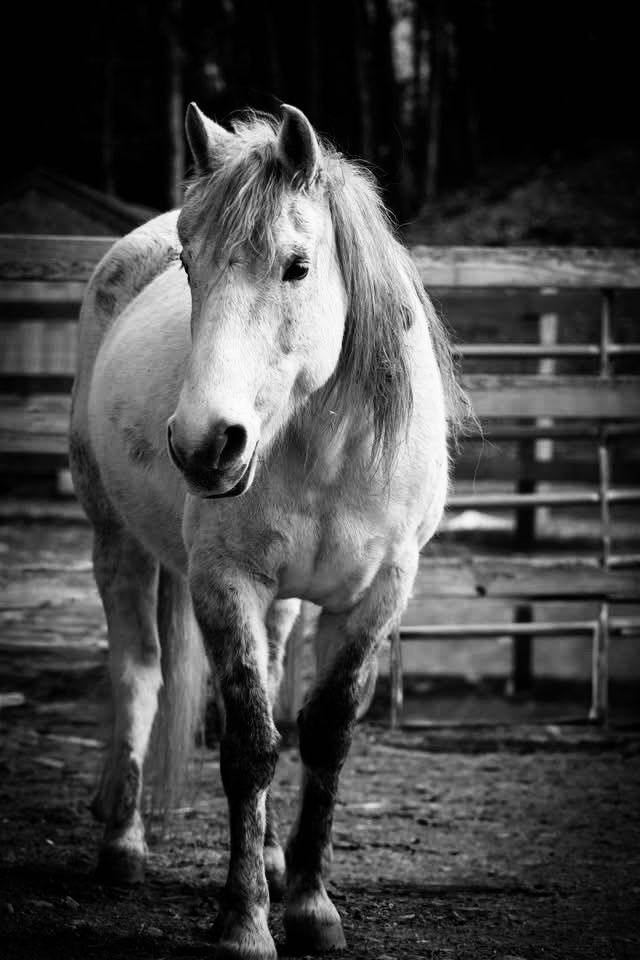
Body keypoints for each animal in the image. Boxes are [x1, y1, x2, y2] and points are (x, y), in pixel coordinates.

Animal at [70, 103, 462, 960]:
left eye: (297, 266)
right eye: (189, 264)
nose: (203, 445)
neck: (326, 449)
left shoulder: (377, 597)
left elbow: (321, 733)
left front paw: (310, 905)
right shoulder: (225, 584)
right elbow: (248, 743)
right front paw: (245, 923)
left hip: (282, 602)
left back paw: (278, 861)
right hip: (115, 537)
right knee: (138, 672)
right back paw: (121, 842)